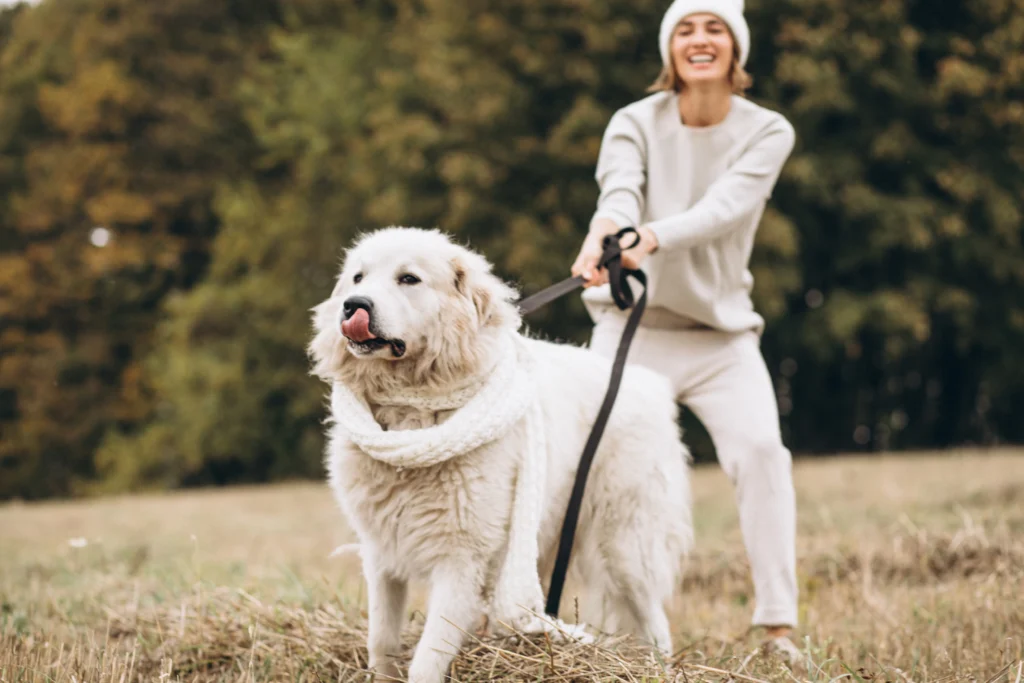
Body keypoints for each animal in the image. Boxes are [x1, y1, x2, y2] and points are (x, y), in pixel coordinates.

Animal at [309, 227, 696, 679]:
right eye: (358, 278)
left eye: (408, 279)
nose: (354, 305)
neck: (414, 412)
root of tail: (649, 384)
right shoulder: (381, 554)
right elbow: (381, 641)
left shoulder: (461, 561)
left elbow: (426, 660)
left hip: (625, 547)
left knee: (654, 622)